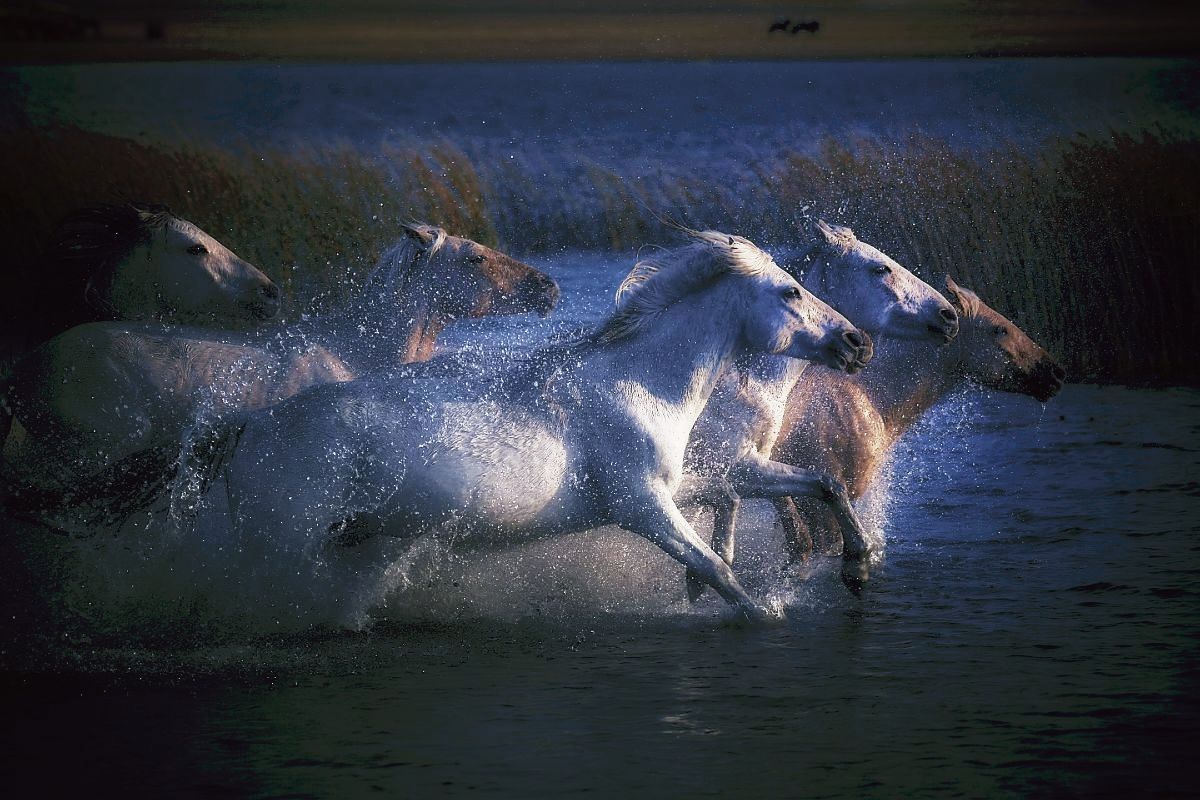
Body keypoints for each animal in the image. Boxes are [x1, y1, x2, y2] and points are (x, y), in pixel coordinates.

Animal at [216, 227, 873, 623]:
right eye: (790, 291)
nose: (856, 343)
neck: (638, 383)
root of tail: (249, 428)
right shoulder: (640, 505)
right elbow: (718, 567)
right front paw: (760, 611)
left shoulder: (677, 485)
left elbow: (806, 486)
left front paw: (857, 568)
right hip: (284, 545)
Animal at [686, 219, 955, 594]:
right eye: (880, 268)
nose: (949, 316)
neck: (739, 383)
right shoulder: (734, 467)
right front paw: (856, 563)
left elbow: (824, 488)